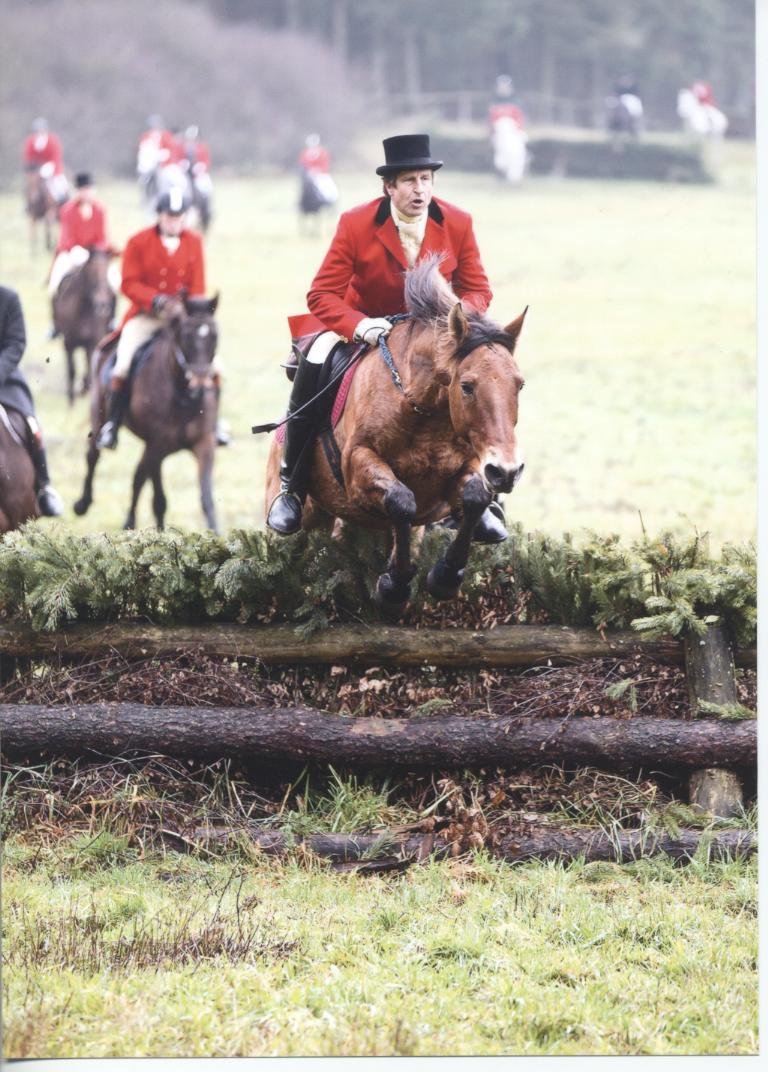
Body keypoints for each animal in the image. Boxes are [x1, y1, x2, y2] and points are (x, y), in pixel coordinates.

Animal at [52, 246, 116, 403]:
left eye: (107, 271)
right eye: (92, 272)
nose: (103, 304)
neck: (83, 309)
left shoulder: (92, 342)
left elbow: (88, 372)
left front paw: (84, 389)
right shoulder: (68, 342)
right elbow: (72, 369)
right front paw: (71, 398)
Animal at [74, 295, 220, 529]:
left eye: (215, 336)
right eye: (186, 336)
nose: (199, 386)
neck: (183, 396)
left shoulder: (204, 443)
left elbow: (206, 499)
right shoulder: (156, 446)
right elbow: (154, 494)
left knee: (142, 478)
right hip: (99, 414)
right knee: (93, 454)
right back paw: (83, 503)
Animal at [266, 254, 527, 617]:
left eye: (520, 384)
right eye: (466, 386)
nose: (507, 472)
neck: (427, 413)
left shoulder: (470, 466)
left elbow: (475, 497)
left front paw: (444, 577)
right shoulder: (358, 463)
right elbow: (401, 500)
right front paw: (394, 587)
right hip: (298, 513)